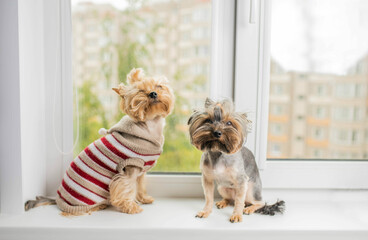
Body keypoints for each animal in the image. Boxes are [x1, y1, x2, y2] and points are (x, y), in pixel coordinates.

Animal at [25, 68, 175, 216]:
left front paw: (144, 198)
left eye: (159, 86)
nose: (153, 93)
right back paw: (98, 206)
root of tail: (57, 200)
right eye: (140, 91)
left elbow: (140, 185)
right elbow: (128, 187)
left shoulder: (140, 171)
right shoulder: (129, 168)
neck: (150, 126)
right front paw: (131, 207)